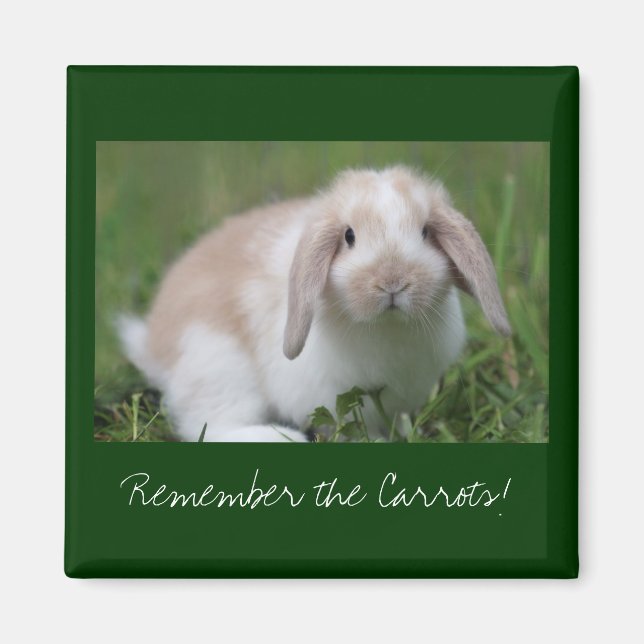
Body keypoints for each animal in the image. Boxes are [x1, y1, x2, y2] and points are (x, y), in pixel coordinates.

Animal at [118, 165, 511, 442]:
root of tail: (152, 343)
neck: (386, 328)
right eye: (349, 236)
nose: (392, 281)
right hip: (218, 369)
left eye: (426, 232)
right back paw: (276, 438)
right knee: (209, 425)